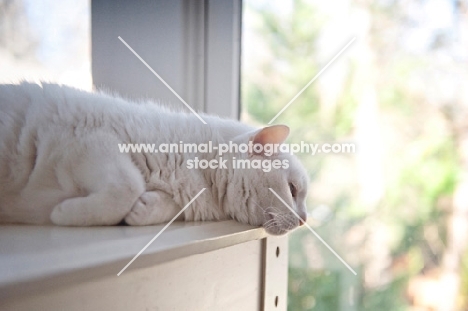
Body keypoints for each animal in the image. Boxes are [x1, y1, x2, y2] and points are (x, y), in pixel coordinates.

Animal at [0, 81, 308, 235]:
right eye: (292, 191)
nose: (305, 221)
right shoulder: (90, 141)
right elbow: (127, 185)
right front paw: (62, 214)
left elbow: (161, 204)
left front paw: (139, 212)